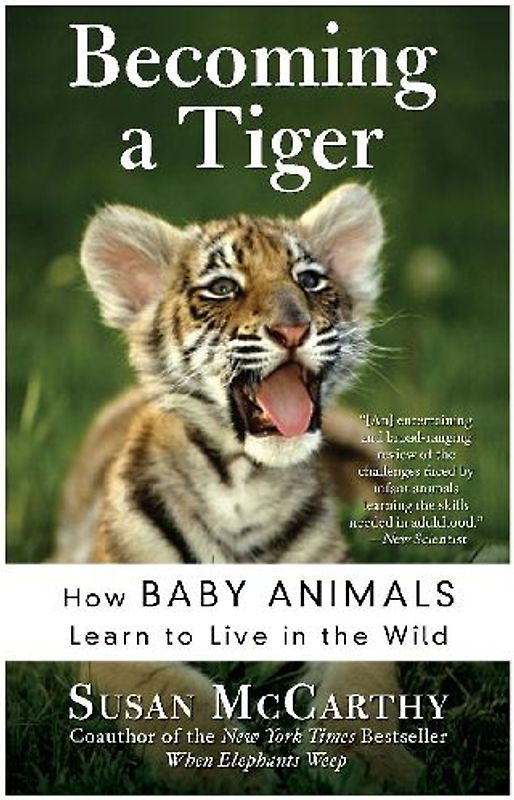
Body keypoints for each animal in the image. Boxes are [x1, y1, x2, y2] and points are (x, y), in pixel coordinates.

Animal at [54, 182, 422, 793]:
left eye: (310, 280)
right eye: (223, 288)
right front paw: (232, 775)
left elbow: (362, 695)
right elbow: (183, 703)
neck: (243, 483)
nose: (293, 329)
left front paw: (374, 769)